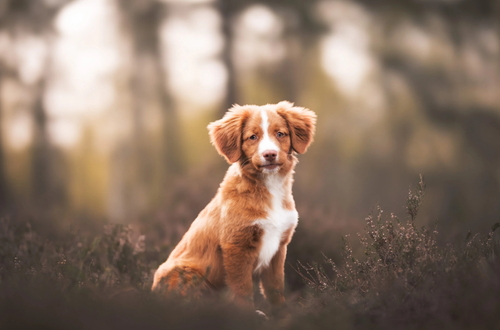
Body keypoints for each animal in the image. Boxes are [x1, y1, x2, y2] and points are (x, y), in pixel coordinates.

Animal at [151, 101, 316, 314]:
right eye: (252, 137)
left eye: (280, 134)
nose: (270, 154)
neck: (267, 188)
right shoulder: (236, 246)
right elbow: (242, 289)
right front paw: (248, 316)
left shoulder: (279, 247)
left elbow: (275, 288)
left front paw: (284, 315)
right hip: (186, 272)